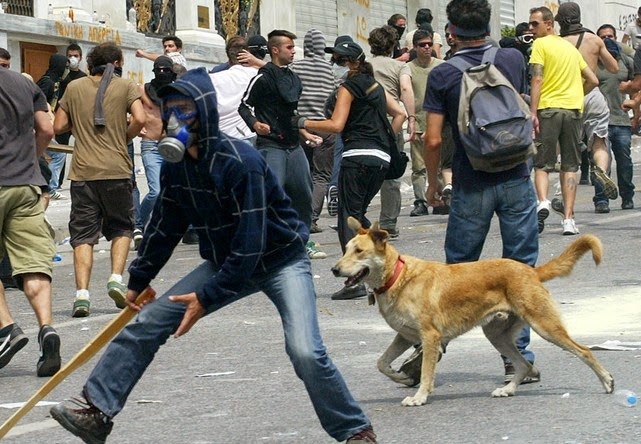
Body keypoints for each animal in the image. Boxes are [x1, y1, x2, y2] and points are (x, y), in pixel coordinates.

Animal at [332, 217, 612, 408]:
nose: (334, 269)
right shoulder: (405, 336)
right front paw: (399, 377)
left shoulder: (430, 337)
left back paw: (606, 380)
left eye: (359, 252)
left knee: (584, 351)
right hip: (497, 335)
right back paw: (509, 389)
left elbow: (426, 373)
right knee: (523, 364)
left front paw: (420, 396)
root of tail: (530, 270)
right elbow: (381, 363)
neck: (397, 276)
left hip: (545, 326)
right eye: (345, 249)